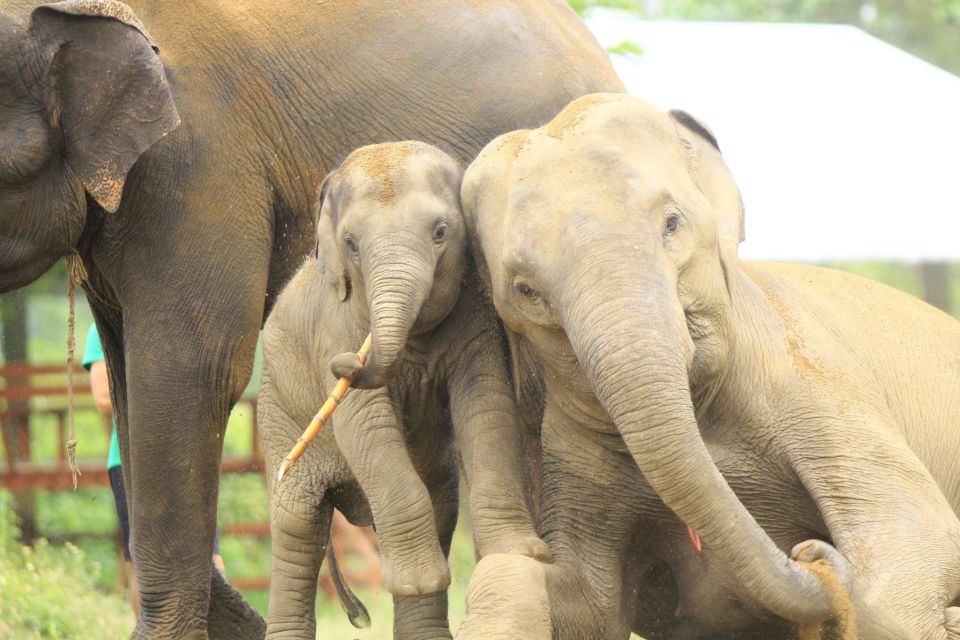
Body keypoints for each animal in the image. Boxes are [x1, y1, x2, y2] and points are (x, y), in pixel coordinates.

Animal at [258, 141, 552, 640]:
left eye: (441, 233)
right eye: (351, 244)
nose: (347, 362)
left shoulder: (476, 313)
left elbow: (487, 406)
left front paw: (523, 554)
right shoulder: (336, 323)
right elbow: (365, 423)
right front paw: (420, 580)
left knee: (440, 500)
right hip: (276, 410)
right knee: (297, 524)